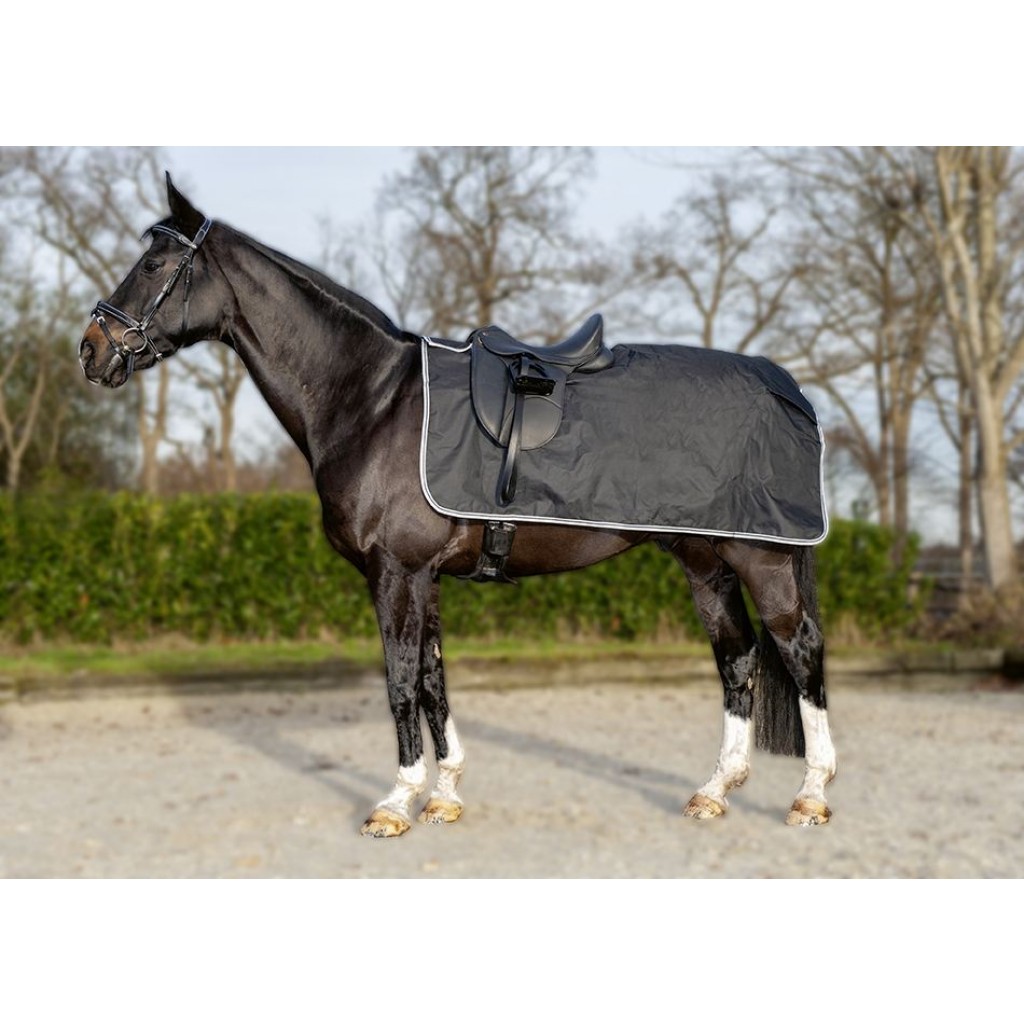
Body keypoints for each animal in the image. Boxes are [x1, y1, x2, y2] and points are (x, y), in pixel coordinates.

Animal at [78, 175, 836, 837]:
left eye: (154, 263)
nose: (91, 350)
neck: (371, 400)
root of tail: (785, 388)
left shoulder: (396, 572)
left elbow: (400, 680)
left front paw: (396, 802)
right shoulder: (425, 577)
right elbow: (434, 679)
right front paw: (444, 796)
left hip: (762, 559)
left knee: (799, 651)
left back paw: (811, 796)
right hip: (705, 562)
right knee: (737, 658)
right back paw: (714, 792)